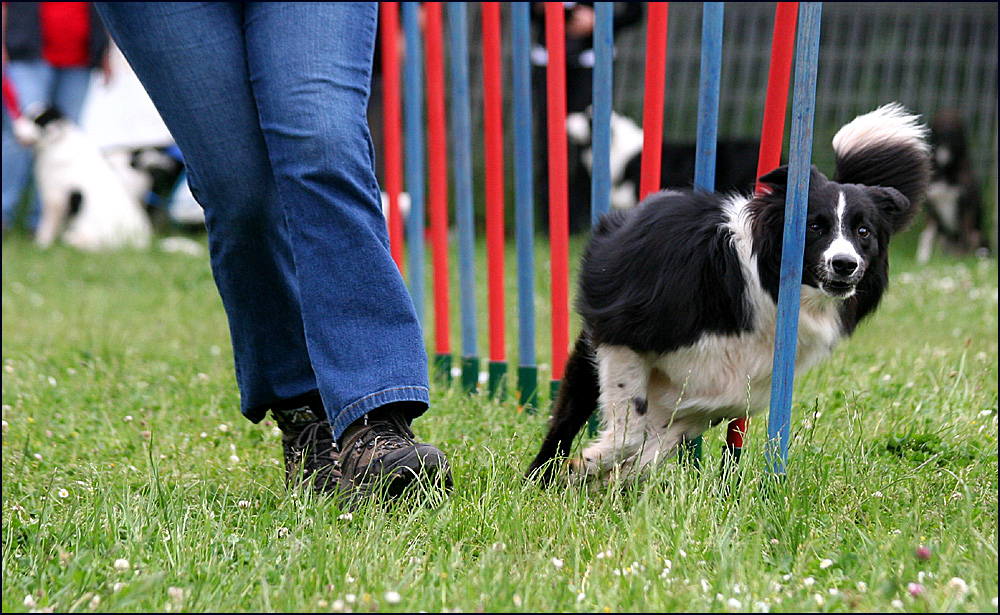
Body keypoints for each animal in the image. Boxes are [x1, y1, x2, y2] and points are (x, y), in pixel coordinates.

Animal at [528, 103, 932, 484]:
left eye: (863, 232)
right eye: (814, 226)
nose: (845, 264)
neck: (762, 283)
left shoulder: (718, 396)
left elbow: (647, 451)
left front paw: (602, 480)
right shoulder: (625, 334)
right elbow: (629, 435)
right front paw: (583, 469)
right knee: (568, 418)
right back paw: (540, 478)